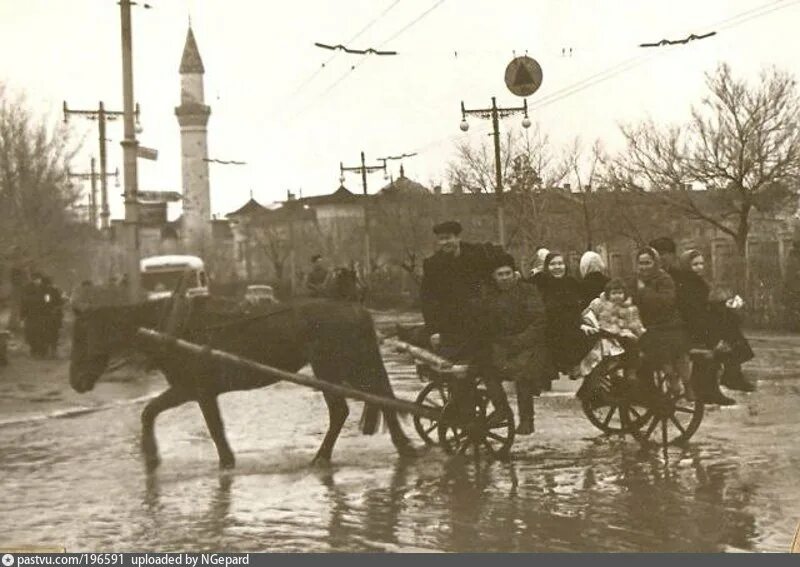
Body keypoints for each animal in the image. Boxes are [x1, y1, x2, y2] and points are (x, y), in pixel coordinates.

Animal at [69, 296, 416, 472]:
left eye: (82, 335)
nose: (75, 382)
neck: (171, 329)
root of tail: (356, 308)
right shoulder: (194, 391)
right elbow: (152, 413)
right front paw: (152, 456)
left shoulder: (195, 391)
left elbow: (208, 427)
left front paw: (224, 462)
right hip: (350, 366)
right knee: (380, 398)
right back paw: (403, 446)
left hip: (332, 369)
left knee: (344, 409)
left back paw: (321, 458)